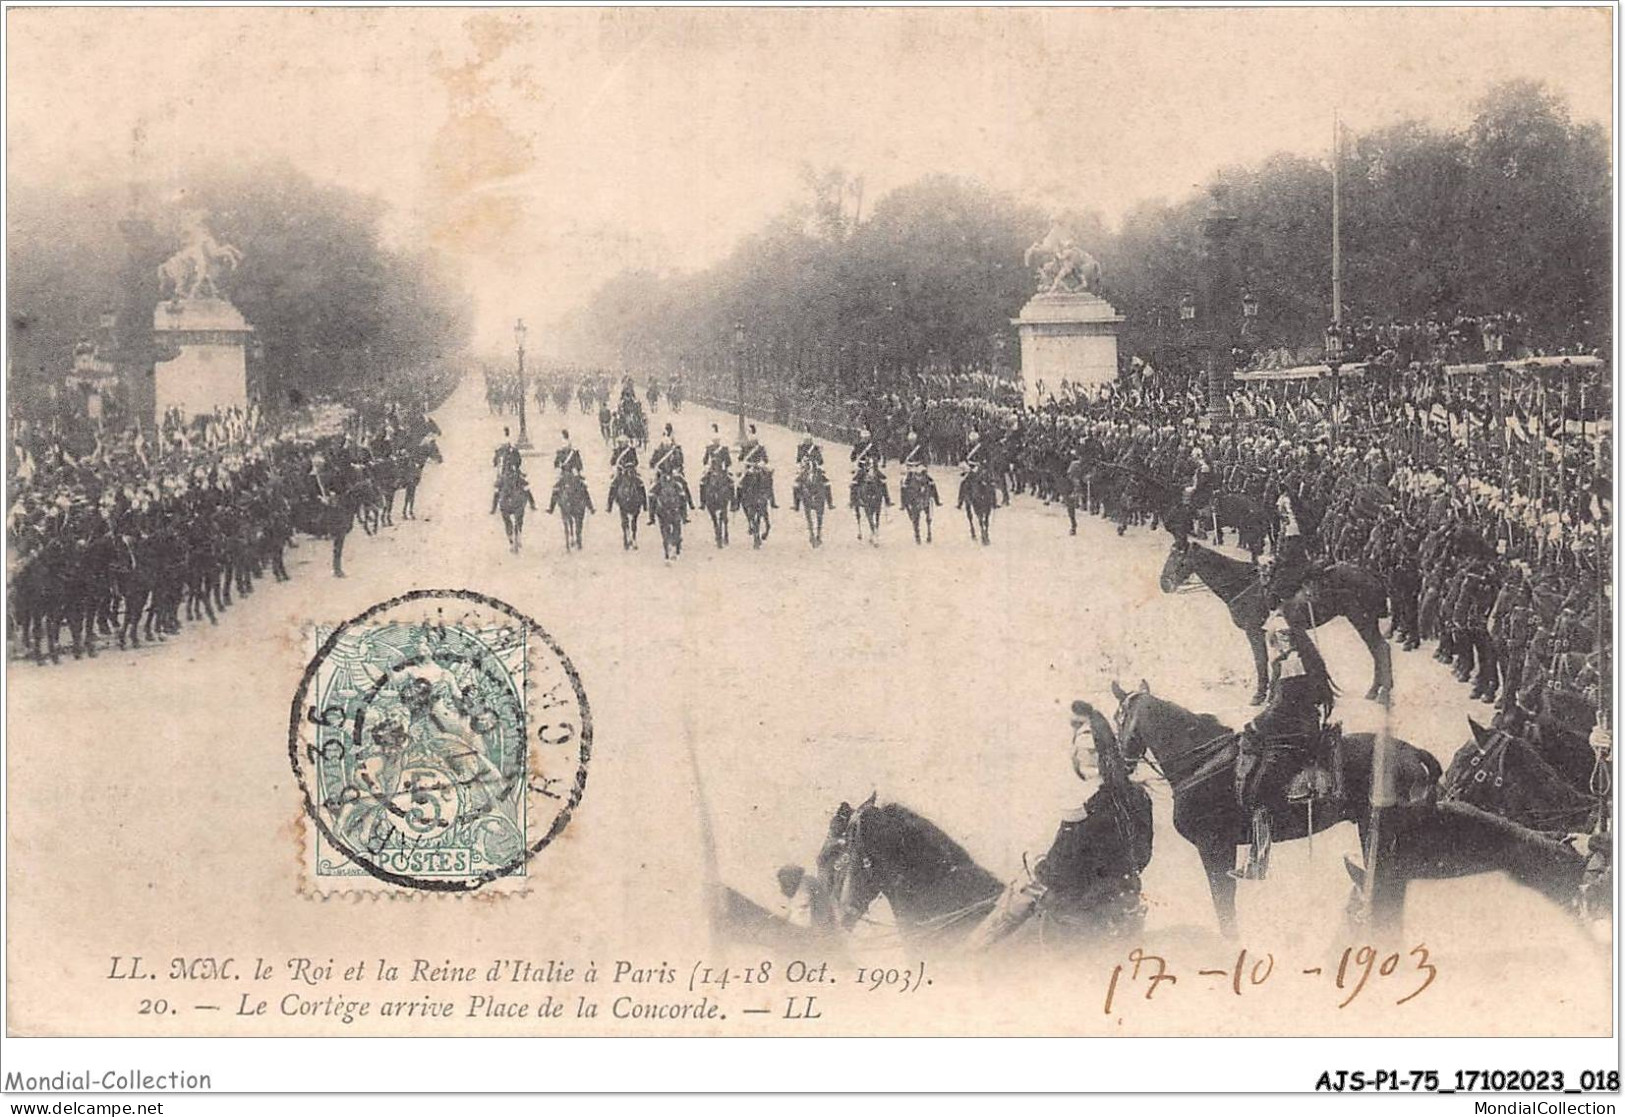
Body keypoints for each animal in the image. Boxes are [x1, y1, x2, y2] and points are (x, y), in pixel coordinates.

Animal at [1111, 676, 1443, 936]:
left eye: (1118, 718)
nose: (1122, 762)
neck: (1202, 764)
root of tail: (1413, 752)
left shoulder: (1214, 847)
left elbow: (1223, 903)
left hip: (1381, 833)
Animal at [1157, 543, 1397, 708]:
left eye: (1178, 559)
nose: (1164, 584)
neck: (1243, 585)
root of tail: (1371, 573)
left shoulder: (1254, 631)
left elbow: (1261, 662)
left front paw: (1259, 695)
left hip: (1362, 619)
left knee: (1380, 649)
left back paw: (1383, 694)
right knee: (1378, 650)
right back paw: (1374, 691)